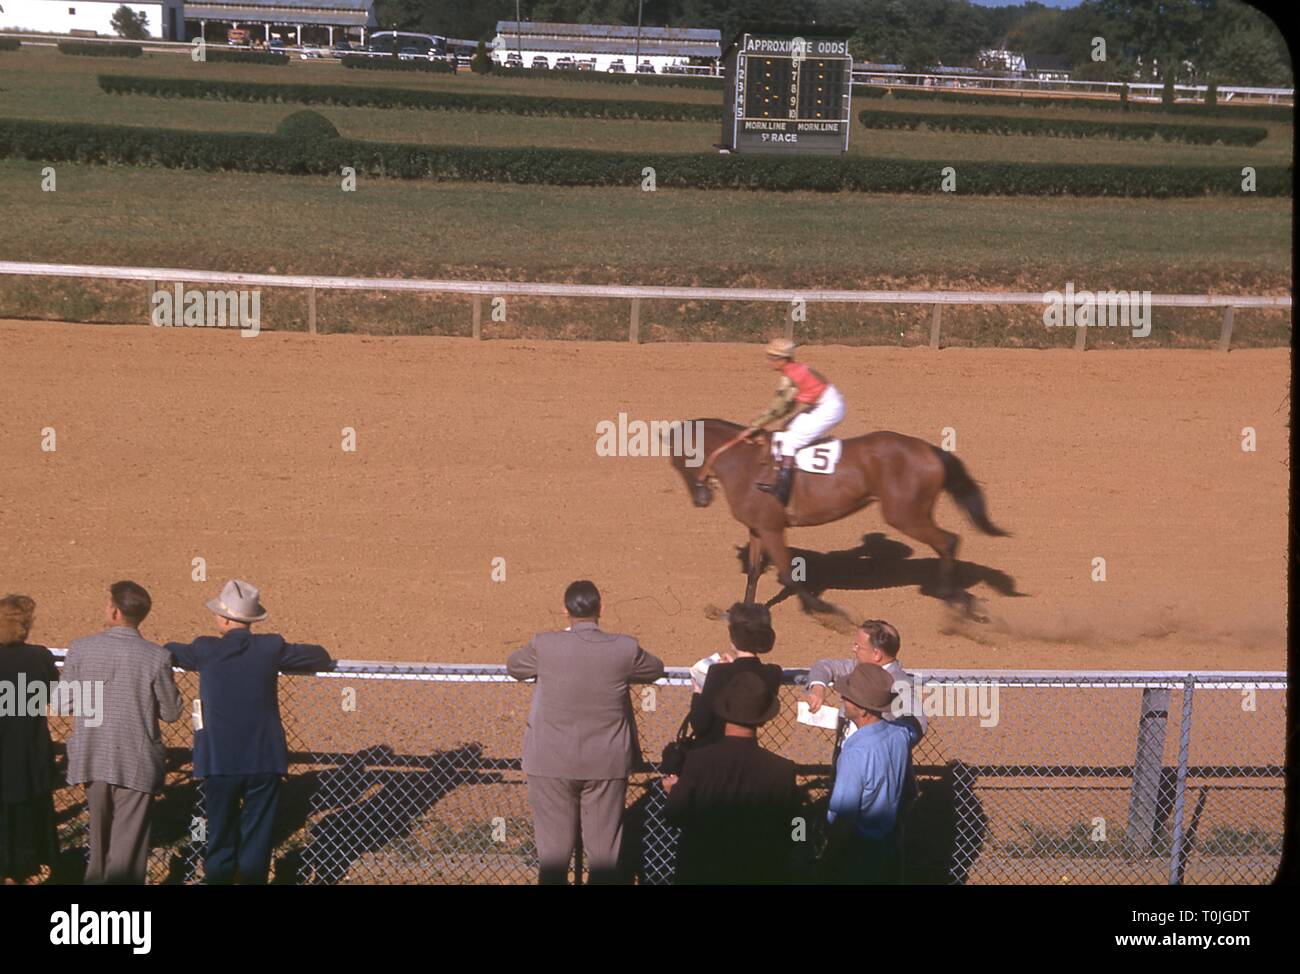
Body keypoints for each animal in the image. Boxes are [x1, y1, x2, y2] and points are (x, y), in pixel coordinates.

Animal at [665, 416, 1008, 616]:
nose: (700, 499)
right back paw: (958, 597)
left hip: (903, 514)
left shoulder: (773, 528)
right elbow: (753, 573)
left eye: (681, 458)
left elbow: (788, 573)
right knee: (946, 542)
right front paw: (738, 614)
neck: (745, 464)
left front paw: (823, 608)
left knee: (948, 540)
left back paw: (954, 598)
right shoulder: (757, 528)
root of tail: (930, 449)